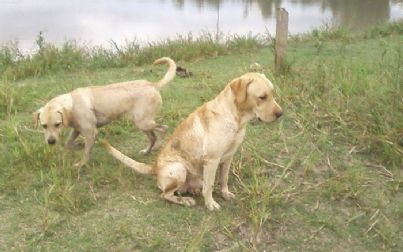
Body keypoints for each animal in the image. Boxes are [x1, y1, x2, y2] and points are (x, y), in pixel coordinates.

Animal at [35, 57, 178, 167]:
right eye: (44, 126)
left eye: (57, 124)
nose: (51, 142)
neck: (72, 104)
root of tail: (153, 85)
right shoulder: (76, 130)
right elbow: (69, 144)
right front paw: (79, 146)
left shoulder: (90, 132)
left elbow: (86, 153)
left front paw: (81, 164)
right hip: (140, 122)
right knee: (152, 137)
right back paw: (147, 151)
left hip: (143, 122)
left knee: (163, 128)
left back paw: (158, 146)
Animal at [102, 72, 282, 210]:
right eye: (262, 97)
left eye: (273, 93)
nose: (281, 114)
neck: (235, 118)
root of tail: (154, 168)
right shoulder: (212, 160)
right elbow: (210, 186)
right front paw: (210, 204)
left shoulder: (228, 157)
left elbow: (223, 179)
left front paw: (225, 194)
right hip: (179, 169)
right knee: (165, 194)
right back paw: (185, 200)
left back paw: (192, 192)